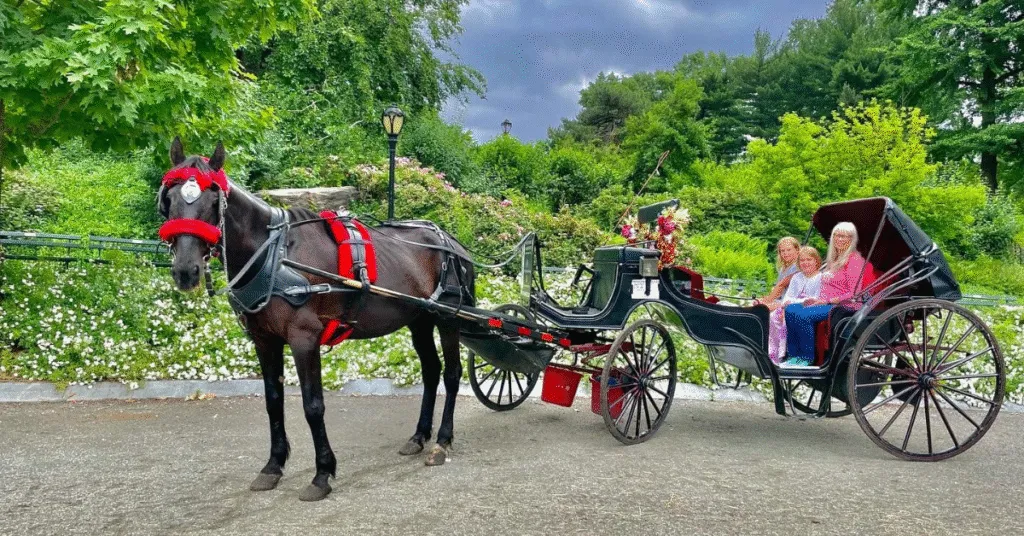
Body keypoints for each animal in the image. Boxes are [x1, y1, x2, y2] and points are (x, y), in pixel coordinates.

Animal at [157, 138, 475, 501]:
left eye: (213, 201)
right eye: (170, 198)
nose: (186, 270)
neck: (273, 254)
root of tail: (451, 242)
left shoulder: (303, 338)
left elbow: (313, 406)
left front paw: (322, 472)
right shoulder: (264, 340)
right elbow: (273, 402)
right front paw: (273, 466)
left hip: (447, 318)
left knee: (452, 374)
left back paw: (442, 441)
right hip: (419, 319)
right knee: (431, 372)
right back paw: (419, 436)